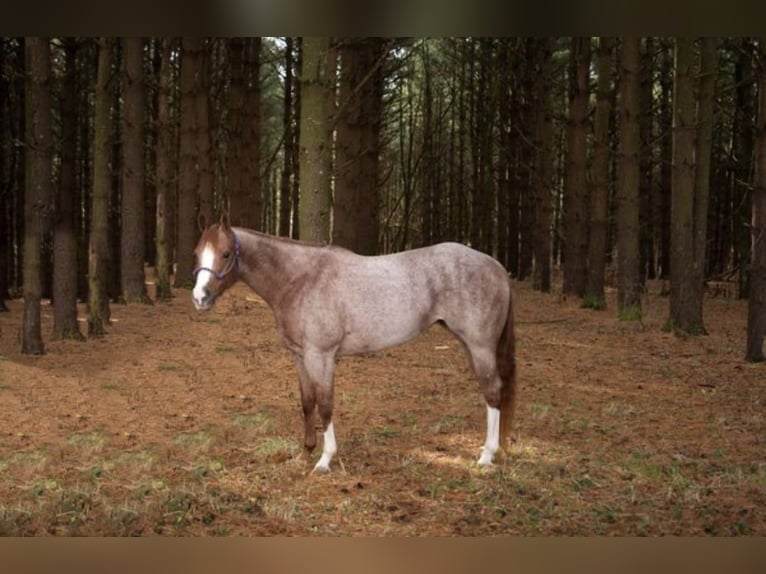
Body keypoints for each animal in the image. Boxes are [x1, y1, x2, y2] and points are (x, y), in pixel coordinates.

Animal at [192, 223, 520, 474]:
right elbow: (307, 402)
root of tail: (497, 267)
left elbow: (325, 404)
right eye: (197, 253)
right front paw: (305, 452)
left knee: (493, 393)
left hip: (480, 347)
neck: (301, 279)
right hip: (470, 346)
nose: (199, 297)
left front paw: (324, 460)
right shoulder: (300, 356)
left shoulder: (321, 356)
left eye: (225, 253)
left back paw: (486, 456)